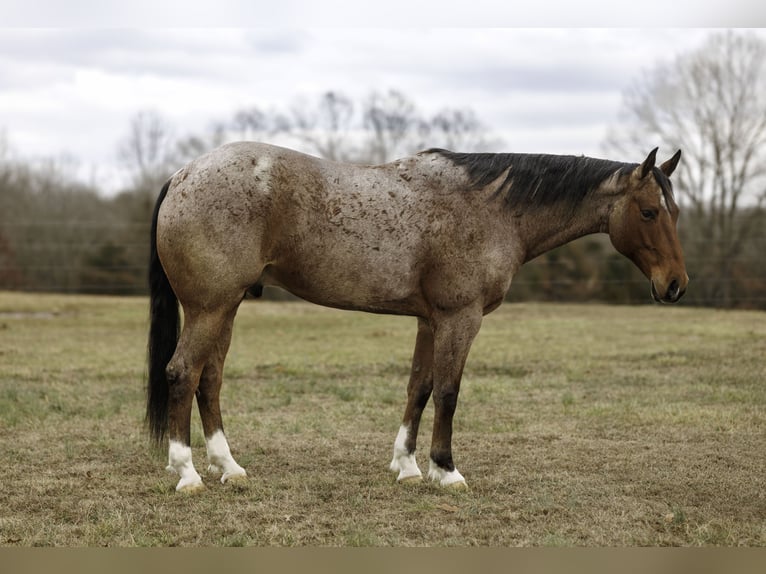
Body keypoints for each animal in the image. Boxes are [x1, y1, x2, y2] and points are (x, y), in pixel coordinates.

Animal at [146, 142, 688, 492]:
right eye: (648, 212)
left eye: (675, 211)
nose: (675, 285)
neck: (491, 209)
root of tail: (182, 175)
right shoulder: (459, 319)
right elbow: (448, 392)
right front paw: (445, 470)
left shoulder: (430, 321)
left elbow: (419, 387)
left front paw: (406, 466)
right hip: (210, 307)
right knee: (182, 372)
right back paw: (187, 472)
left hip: (226, 307)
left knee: (208, 379)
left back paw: (227, 466)